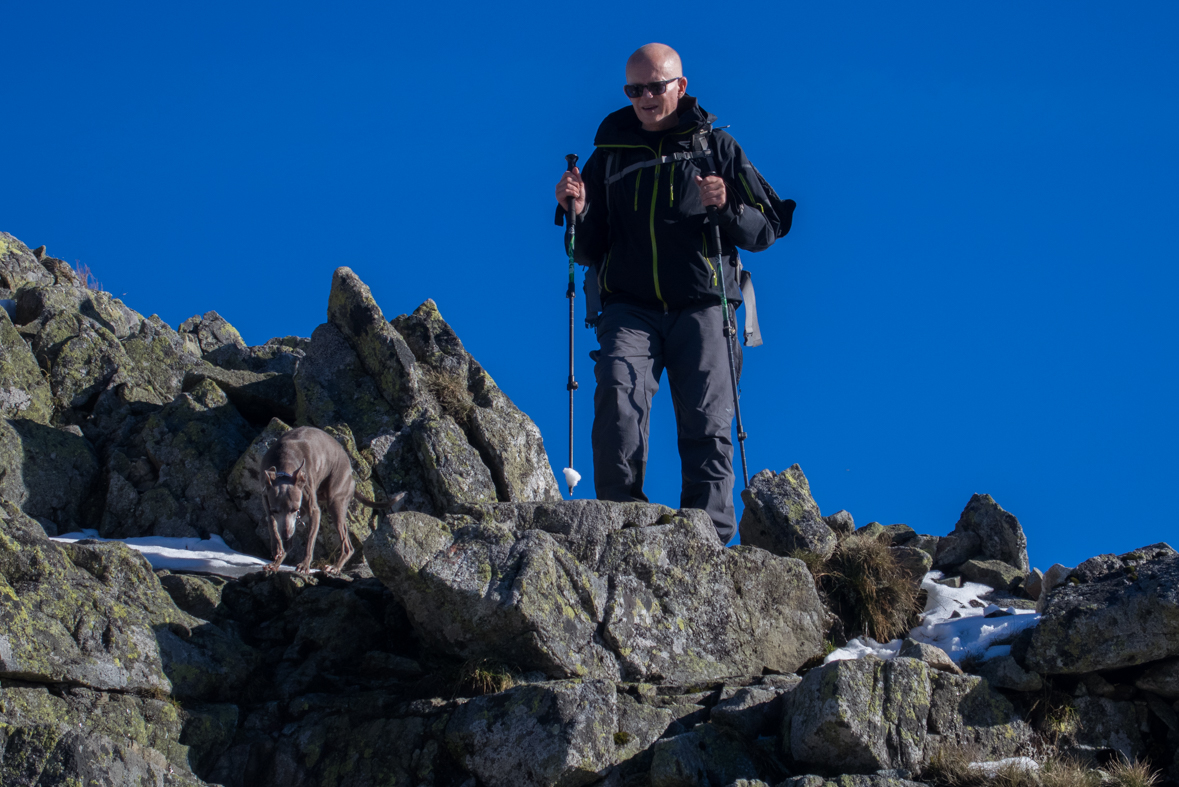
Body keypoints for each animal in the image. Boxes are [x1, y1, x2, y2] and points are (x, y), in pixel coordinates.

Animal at [259, 426, 403, 574]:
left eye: (295, 509)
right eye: (275, 510)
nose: (286, 535)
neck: (285, 460)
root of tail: (352, 478)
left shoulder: (313, 511)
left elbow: (310, 541)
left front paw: (304, 565)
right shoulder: (267, 499)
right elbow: (272, 523)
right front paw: (277, 547)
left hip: (335, 503)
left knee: (347, 545)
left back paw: (335, 567)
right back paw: (276, 562)